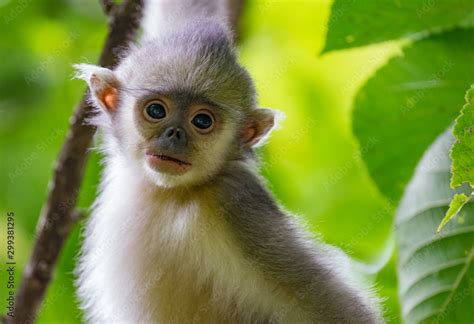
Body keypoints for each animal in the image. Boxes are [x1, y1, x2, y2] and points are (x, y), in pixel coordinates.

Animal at [76, 1, 384, 322]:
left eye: (202, 121)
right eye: (156, 111)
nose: (174, 135)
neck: (170, 193)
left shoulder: (232, 200)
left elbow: (343, 311)